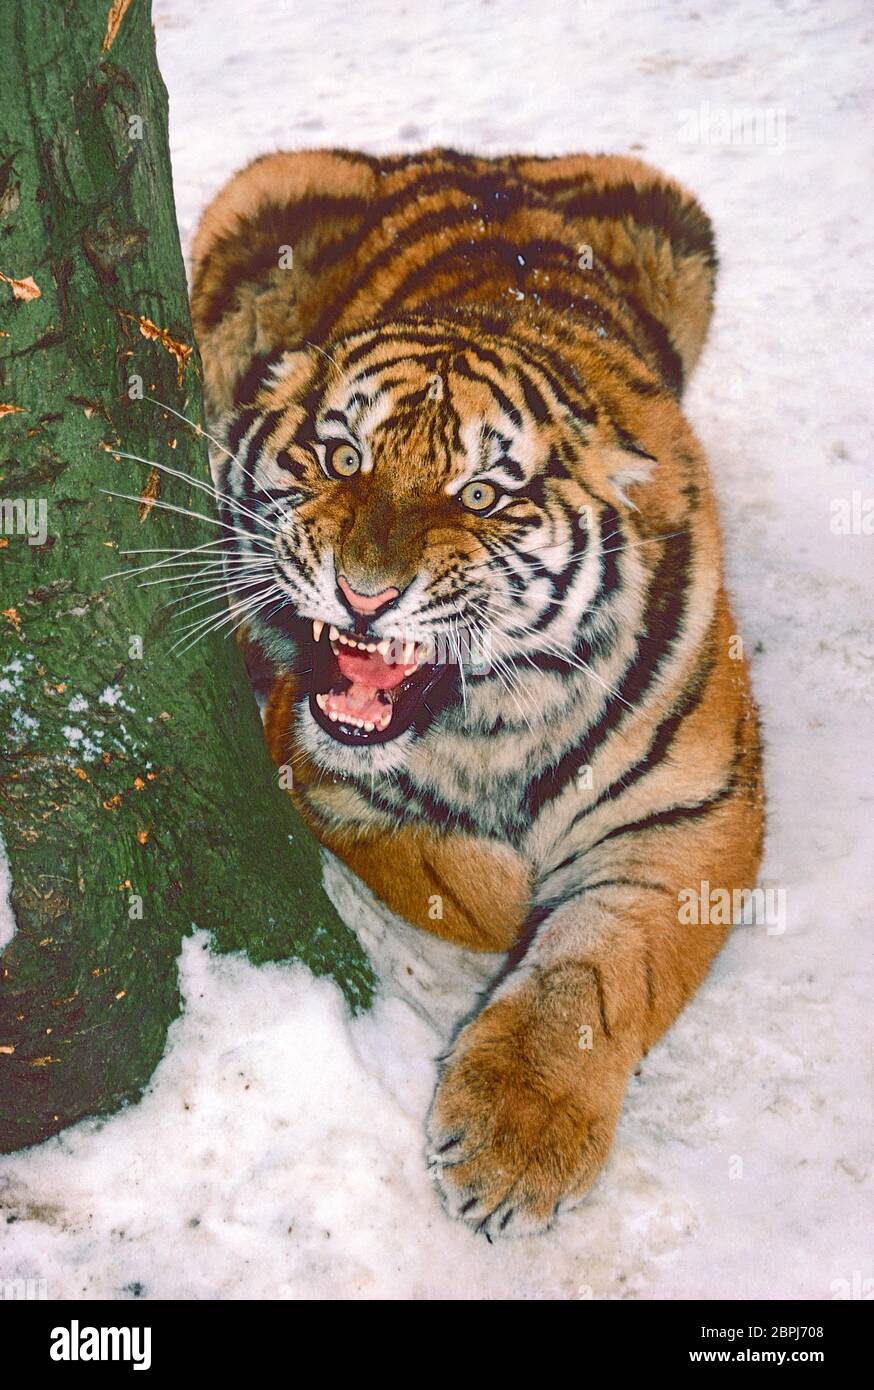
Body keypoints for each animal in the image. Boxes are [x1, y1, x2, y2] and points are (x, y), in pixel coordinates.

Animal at [190, 147, 764, 1237]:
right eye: (342, 457)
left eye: (482, 496)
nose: (365, 594)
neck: (496, 716)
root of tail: (469, 153)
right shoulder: (317, 773)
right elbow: (471, 887)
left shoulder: (697, 810)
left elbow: (595, 971)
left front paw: (517, 1144)